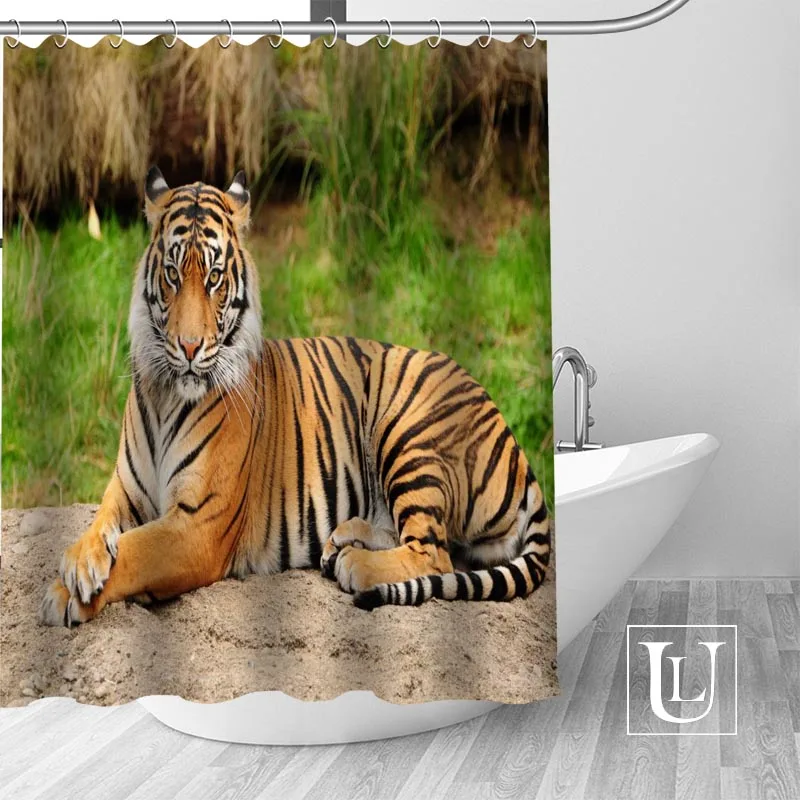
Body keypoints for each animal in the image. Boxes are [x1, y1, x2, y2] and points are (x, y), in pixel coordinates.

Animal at [39, 167, 552, 627]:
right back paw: (344, 537)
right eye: (171, 274)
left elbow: (135, 552)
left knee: (435, 554)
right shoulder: (126, 489)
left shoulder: (198, 525)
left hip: (408, 430)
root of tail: (516, 445)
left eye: (214, 278)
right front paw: (80, 561)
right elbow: (98, 524)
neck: (168, 395)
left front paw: (62, 594)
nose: (188, 347)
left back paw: (353, 563)